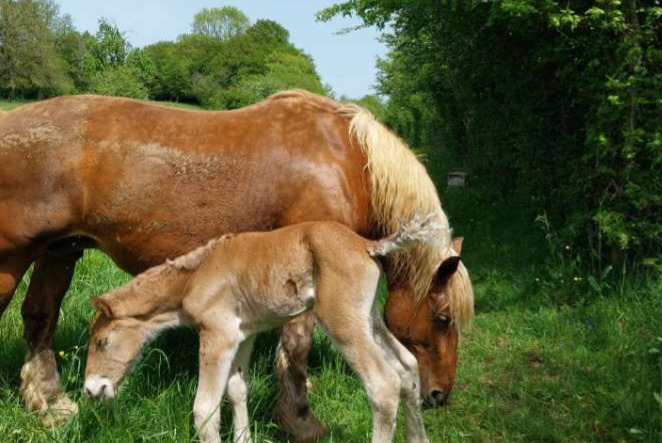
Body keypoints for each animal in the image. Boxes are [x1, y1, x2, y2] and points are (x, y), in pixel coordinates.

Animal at [84, 219, 456, 443]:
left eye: (102, 341)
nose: (91, 388)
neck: (195, 275)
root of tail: (368, 245)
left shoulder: (217, 334)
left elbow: (204, 407)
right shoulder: (244, 334)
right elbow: (237, 390)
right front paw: (244, 438)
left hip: (343, 320)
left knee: (382, 383)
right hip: (370, 319)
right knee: (407, 366)